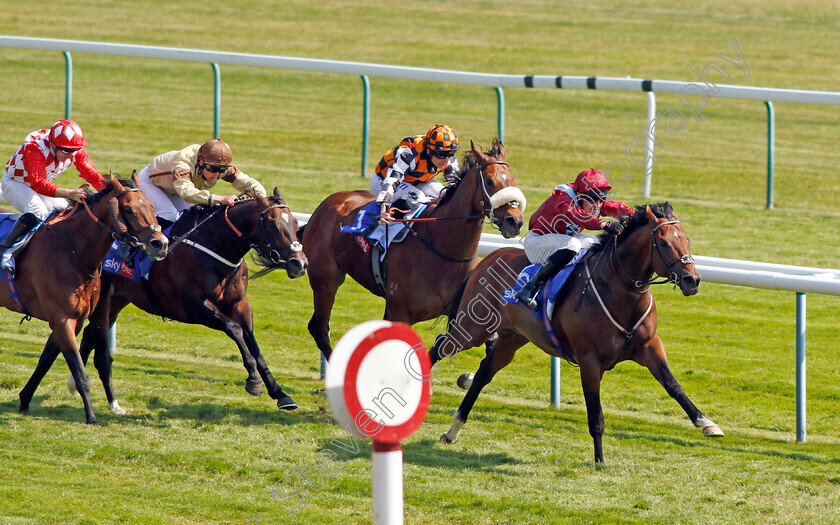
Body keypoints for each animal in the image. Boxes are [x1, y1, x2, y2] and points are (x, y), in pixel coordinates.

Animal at [9, 174, 170, 424]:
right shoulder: (62, 319)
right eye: (129, 209)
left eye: (152, 206)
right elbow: (80, 372)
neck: (73, 251)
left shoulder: (74, 319)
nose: (160, 244)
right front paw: (92, 417)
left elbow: (46, 360)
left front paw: (25, 400)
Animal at [33, 188, 308, 418]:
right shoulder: (192, 307)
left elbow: (253, 342)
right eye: (272, 223)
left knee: (92, 332)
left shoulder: (240, 304)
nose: (300, 263)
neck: (214, 247)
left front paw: (281, 394)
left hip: (118, 298)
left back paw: (76, 383)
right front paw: (253, 382)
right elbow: (235, 330)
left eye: (295, 223)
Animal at [302, 138, 524, 360]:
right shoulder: (399, 312)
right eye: (490, 181)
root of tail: (327, 203)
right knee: (319, 329)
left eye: (513, 180)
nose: (515, 221)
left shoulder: (468, 311)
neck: (444, 250)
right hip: (326, 281)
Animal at [430, 203, 724, 460]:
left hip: (511, 339)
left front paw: (707, 423)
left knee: (482, 374)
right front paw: (599, 460)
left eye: (687, 240)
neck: (618, 291)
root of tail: (488, 258)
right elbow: (596, 415)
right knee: (439, 348)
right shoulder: (590, 361)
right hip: (473, 329)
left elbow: (674, 386)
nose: (692, 280)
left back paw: (452, 431)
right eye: (663, 243)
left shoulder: (650, 345)